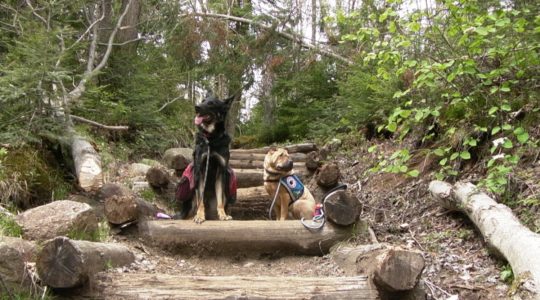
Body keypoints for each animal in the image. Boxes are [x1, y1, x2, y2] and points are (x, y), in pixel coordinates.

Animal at [179, 94, 236, 223]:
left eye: (211, 104)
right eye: (202, 101)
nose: (196, 107)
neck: (211, 138)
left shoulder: (220, 172)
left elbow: (220, 201)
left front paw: (223, 215)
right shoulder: (199, 172)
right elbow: (200, 202)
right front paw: (200, 216)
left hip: (225, 193)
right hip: (192, 198)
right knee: (191, 211)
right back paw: (194, 216)